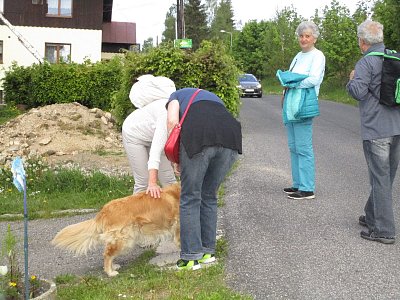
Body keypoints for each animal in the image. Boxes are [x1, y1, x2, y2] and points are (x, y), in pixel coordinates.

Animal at [52, 180, 180, 276]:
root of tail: (103, 211)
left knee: (109, 252)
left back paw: (113, 267)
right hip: (124, 239)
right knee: (107, 254)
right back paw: (110, 272)